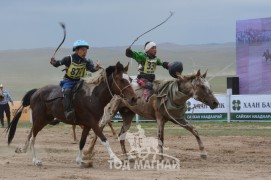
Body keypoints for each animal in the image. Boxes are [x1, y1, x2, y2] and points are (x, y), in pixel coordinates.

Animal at [6, 61, 138, 167]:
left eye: (130, 79)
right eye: (121, 80)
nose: (134, 98)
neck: (93, 96)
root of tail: (36, 92)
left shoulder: (87, 125)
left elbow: (82, 142)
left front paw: (80, 161)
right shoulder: (93, 123)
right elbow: (104, 140)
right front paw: (116, 160)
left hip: (45, 119)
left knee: (31, 133)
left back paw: (24, 150)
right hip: (40, 119)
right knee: (33, 137)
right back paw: (35, 160)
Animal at [84, 70, 219, 160]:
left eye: (209, 86)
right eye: (202, 86)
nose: (215, 103)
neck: (171, 94)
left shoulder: (178, 118)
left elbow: (194, 131)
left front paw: (203, 153)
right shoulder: (160, 119)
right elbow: (161, 138)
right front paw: (161, 158)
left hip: (128, 116)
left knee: (121, 135)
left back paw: (127, 156)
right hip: (109, 112)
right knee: (99, 129)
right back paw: (88, 153)